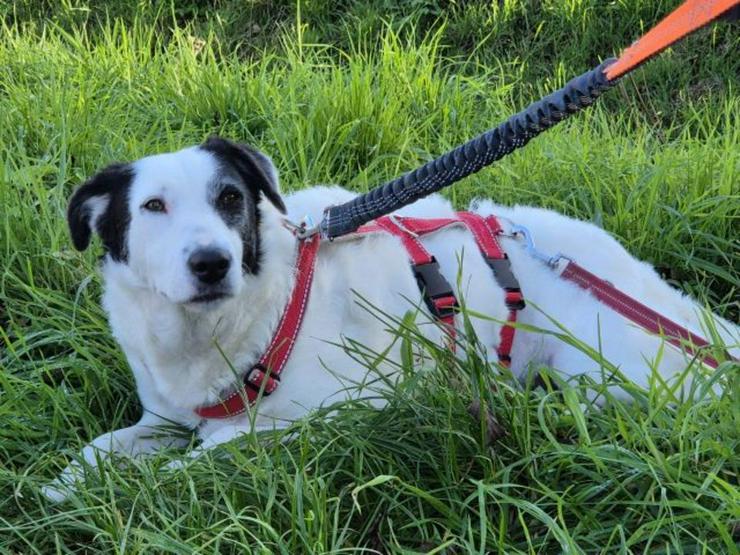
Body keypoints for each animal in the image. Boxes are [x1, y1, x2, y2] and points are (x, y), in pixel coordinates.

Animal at [44, 138, 736, 500]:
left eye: (231, 198)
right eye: (152, 207)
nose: (213, 263)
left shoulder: (352, 406)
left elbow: (215, 450)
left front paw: (140, 488)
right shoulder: (163, 417)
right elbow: (98, 449)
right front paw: (64, 489)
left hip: (597, 376)